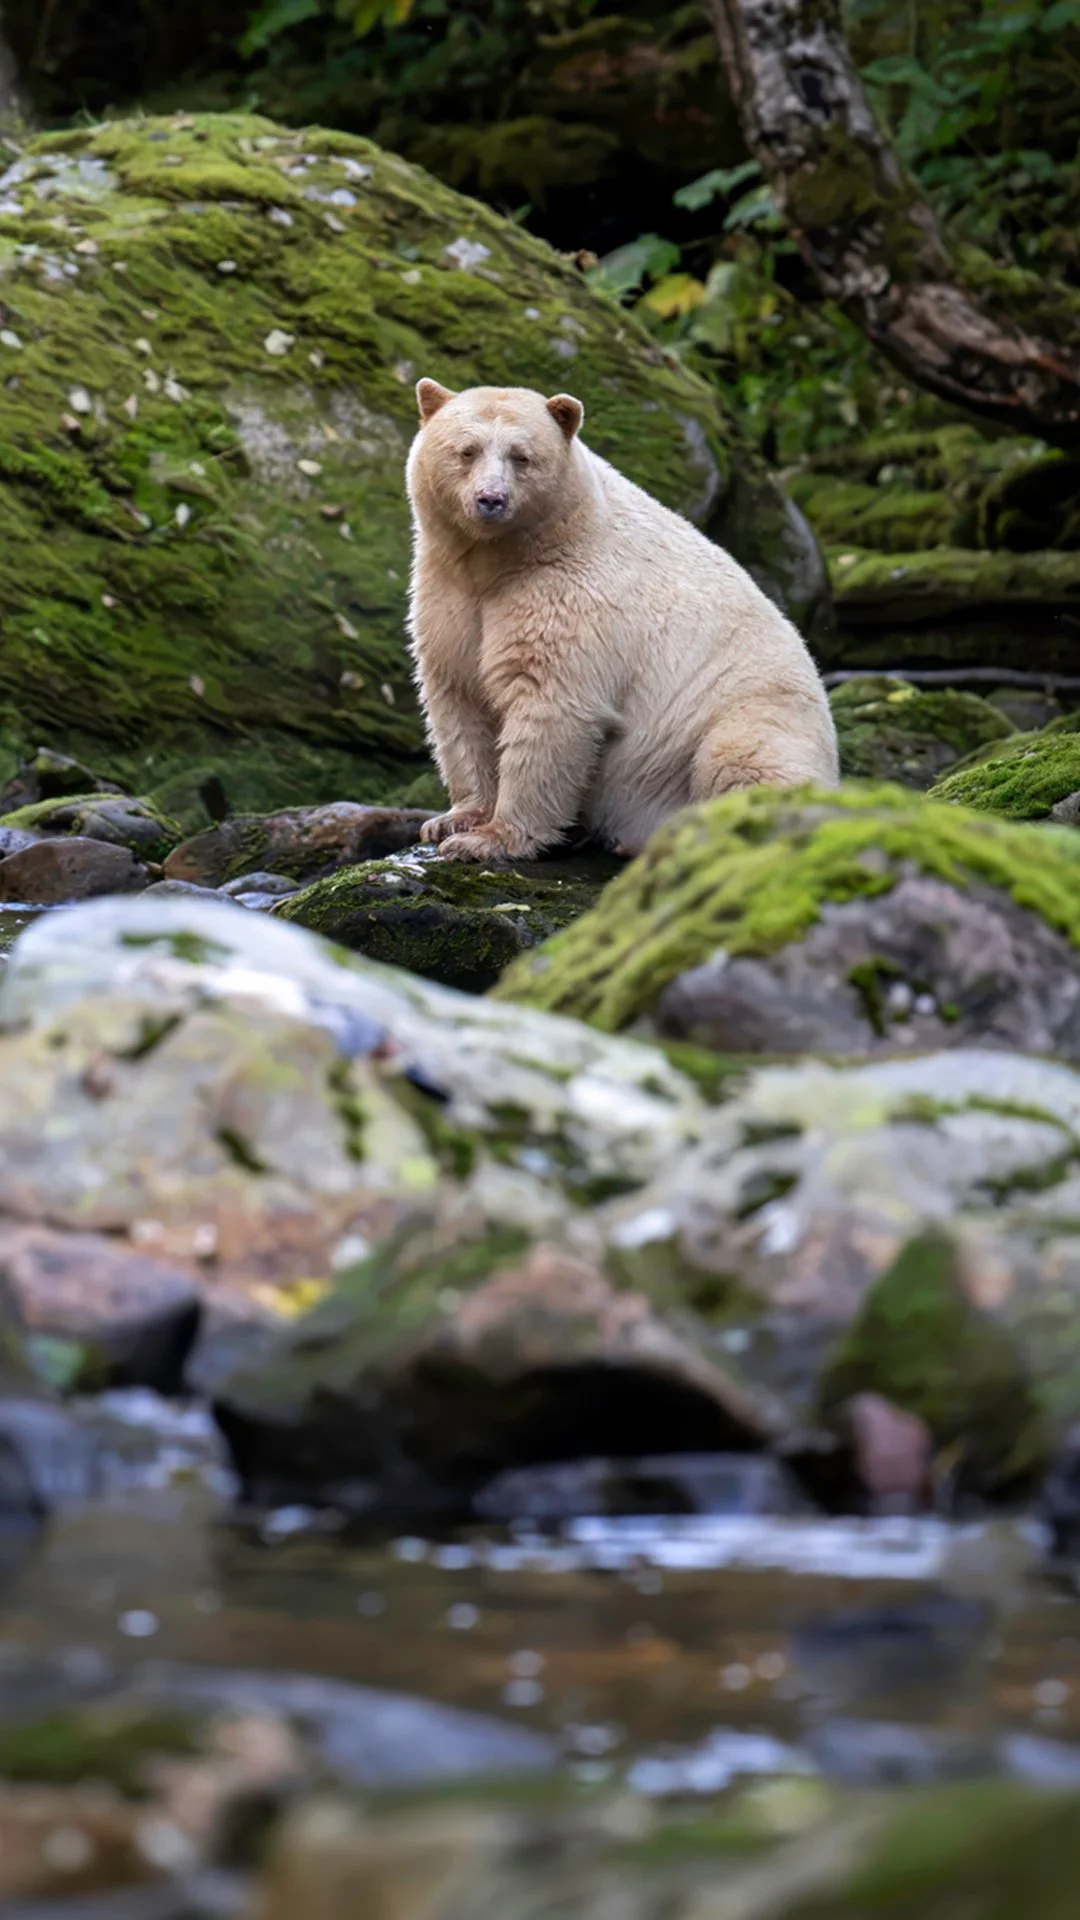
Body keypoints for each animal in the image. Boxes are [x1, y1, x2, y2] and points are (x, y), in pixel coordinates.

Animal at [405, 380, 839, 863]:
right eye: (467, 450)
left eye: (522, 456)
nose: (491, 499)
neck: (503, 558)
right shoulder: (450, 596)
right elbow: (459, 698)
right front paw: (452, 820)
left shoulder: (573, 595)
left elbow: (550, 706)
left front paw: (491, 838)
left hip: (748, 711)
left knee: (743, 760)